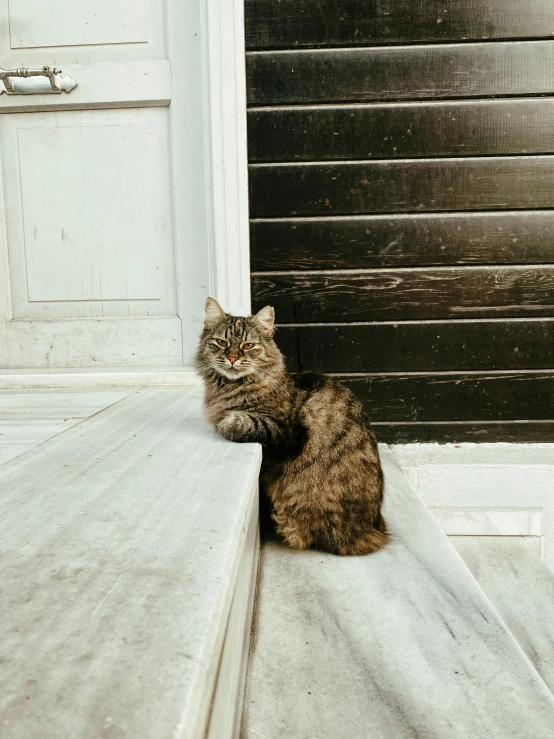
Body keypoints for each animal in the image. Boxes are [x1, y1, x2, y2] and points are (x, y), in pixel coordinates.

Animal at [196, 294, 386, 556]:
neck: (231, 388)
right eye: (222, 342)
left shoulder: (285, 433)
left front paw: (224, 420)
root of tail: (373, 531)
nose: (232, 358)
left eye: (247, 346)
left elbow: (237, 423)